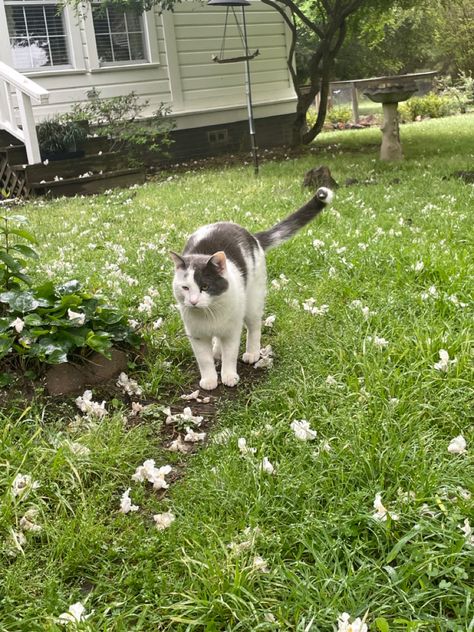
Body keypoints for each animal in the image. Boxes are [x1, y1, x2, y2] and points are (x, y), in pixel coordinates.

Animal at [170, 186, 334, 390]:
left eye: (205, 286)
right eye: (185, 287)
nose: (193, 302)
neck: (210, 313)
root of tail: (252, 236)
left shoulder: (232, 331)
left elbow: (230, 355)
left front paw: (229, 376)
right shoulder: (197, 336)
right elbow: (204, 361)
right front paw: (209, 380)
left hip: (252, 302)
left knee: (254, 327)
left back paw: (252, 353)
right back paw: (217, 350)